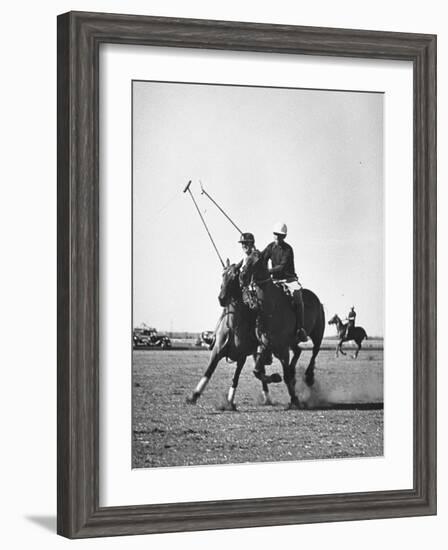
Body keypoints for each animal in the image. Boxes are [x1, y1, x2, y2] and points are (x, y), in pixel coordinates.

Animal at [186, 262, 280, 410]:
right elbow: (208, 371)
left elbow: (235, 378)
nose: (222, 298)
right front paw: (194, 396)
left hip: (257, 351)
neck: (234, 326)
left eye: (235, 276)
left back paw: (268, 395)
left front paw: (230, 401)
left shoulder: (242, 357)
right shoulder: (216, 352)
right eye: (223, 274)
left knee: (260, 371)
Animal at [240, 252, 324, 408]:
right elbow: (257, 371)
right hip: (293, 342)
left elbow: (285, 376)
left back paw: (309, 377)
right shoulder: (266, 345)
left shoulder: (283, 348)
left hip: (317, 333)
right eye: (245, 259)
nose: (242, 276)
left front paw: (295, 399)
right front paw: (275, 377)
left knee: (315, 351)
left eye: (257, 261)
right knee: (298, 351)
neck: (270, 309)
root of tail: (316, 299)